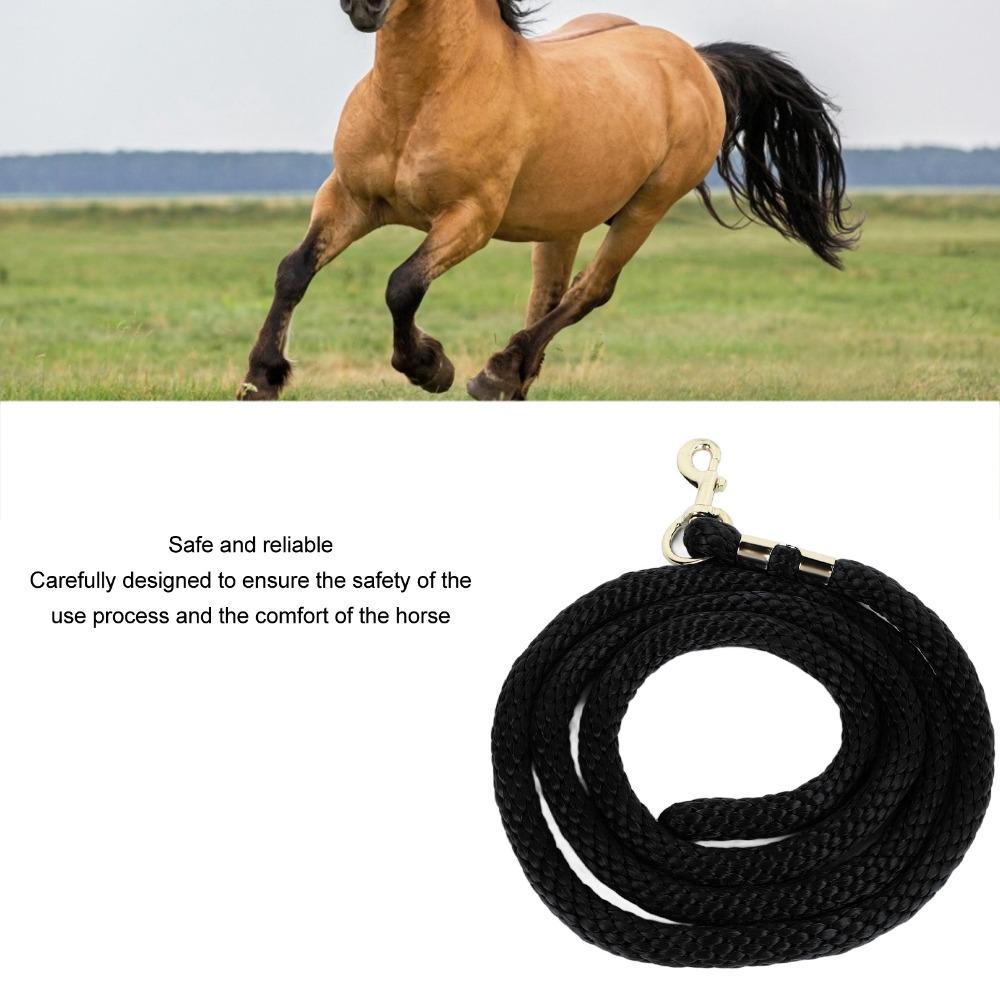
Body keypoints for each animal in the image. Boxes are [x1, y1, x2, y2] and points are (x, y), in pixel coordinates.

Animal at [238, 1, 858, 401]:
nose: (363, 4)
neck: (424, 94)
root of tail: (696, 62)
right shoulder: (349, 198)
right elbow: (293, 270)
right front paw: (261, 378)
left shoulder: (470, 218)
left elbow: (402, 285)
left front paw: (430, 366)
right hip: (564, 222)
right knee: (548, 296)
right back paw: (512, 379)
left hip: (645, 210)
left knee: (589, 291)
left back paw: (495, 374)